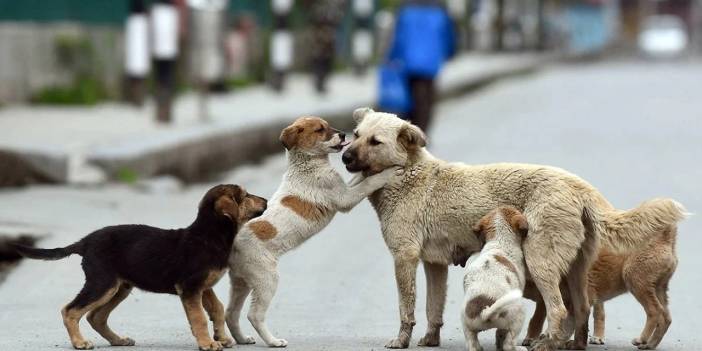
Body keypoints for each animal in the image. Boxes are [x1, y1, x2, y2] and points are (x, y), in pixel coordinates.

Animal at [11, 184, 270, 351]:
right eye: (246, 196)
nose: (267, 201)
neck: (209, 235)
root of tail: (85, 241)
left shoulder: (203, 286)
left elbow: (216, 309)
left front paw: (222, 338)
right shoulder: (190, 288)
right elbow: (198, 318)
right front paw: (208, 343)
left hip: (119, 287)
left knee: (96, 316)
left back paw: (118, 340)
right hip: (102, 283)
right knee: (71, 310)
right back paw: (80, 343)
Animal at [227, 117, 398, 348]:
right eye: (319, 130)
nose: (343, 134)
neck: (307, 165)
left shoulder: (344, 188)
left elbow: (359, 180)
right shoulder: (345, 198)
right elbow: (368, 183)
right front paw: (389, 171)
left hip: (241, 281)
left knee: (230, 313)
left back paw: (242, 339)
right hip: (266, 278)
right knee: (254, 315)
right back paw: (274, 341)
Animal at [524, 226, 680, 351]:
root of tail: (667, 237)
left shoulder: (578, 302)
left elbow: (569, 325)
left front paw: (551, 344)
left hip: (636, 281)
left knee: (655, 312)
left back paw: (642, 339)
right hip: (658, 289)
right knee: (666, 318)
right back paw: (650, 344)